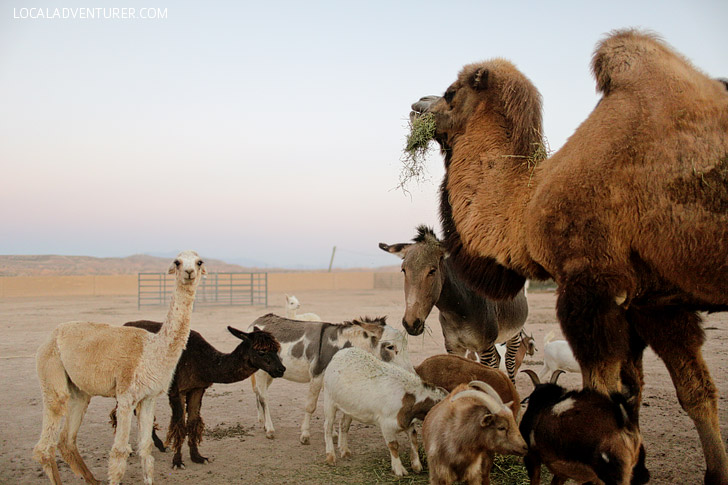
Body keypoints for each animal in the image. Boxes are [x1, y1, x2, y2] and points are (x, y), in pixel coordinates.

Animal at [33, 251, 205, 482]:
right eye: (177, 262)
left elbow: (146, 449)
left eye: (199, 262)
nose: (189, 272)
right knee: (44, 447)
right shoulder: (125, 396)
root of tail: (52, 335)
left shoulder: (148, 397)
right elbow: (119, 453)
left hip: (79, 391)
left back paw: (94, 481)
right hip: (51, 372)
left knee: (66, 440)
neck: (153, 351)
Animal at [322, 346, 444, 474]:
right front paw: (399, 469)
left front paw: (416, 465)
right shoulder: (386, 424)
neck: (409, 397)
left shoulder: (407, 423)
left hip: (349, 407)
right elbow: (393, 445)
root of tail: (341, 353)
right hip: (329, 399)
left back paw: (345, 451)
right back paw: (330, 456)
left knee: (344, 425)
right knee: (328, 427)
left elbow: (414, 440)